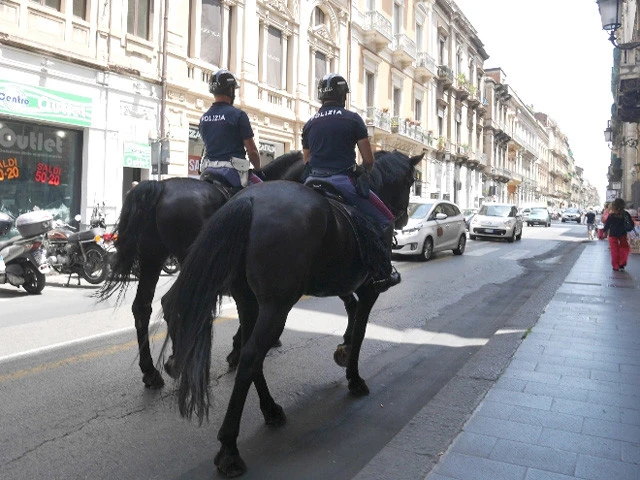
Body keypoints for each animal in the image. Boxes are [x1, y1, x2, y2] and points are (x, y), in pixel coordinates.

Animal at [97, 152, 305, 389]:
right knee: (173, 302)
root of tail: (161, 187)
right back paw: (177, 362)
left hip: (152, 257)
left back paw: (150, 371)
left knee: (142, 307)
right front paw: (237, 351)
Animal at [160, 150, 422, 477]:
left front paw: (344, 348)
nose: (404, 218)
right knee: (250, 354)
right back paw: (229, 449)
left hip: (247, 298)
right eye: (411, 181)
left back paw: (269, 408)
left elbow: (350, 312)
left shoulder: (338, 285)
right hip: (276, 304)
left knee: (243, 347)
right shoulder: (368, 289)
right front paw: (354, 376)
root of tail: (249, 201)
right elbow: (361, 329)